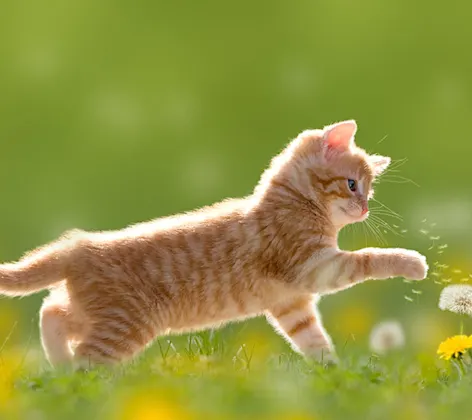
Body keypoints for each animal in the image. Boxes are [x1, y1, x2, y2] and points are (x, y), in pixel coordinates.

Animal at [0, 120, 428, 368]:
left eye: (370, 191)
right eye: (353, 185)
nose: (365, 208)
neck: (296, 203)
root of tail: (78, 246)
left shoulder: (290, 303)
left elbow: (313, 340)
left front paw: (332, 375)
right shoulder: (315, 266)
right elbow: (368, 259)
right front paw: (412, 263)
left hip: (97, 314)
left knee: (51, 312)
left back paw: (57, 365)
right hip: (123, 326)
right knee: (85, 363)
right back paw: (72, 384)